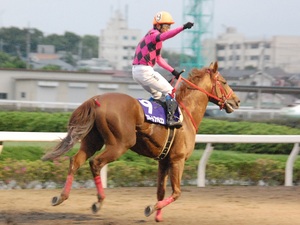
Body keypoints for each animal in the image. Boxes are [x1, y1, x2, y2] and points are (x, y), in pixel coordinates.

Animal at [42, 61, 240, 221]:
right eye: (224, 82)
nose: (237, 101)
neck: (186, 113)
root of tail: (97, 99)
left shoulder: (164, 160)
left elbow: (161, 190)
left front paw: (158, 216)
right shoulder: (178, 159)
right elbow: (177, 192)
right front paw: (151, 208)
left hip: (93, 141)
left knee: (75, 161)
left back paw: (61, 197)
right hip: (120, 144)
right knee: (95, 163)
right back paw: (99, 202)